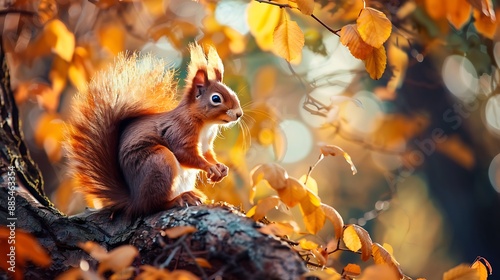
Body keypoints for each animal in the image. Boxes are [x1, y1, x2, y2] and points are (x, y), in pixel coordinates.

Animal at [66, 44, 242, 219]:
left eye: (233, 93)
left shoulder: (206, 144)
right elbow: (185, 154)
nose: (239, 114)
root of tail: (134, 200)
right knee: (153, 206)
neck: (206, 124)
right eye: (216, 99)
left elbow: (207, 154)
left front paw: (220, 167)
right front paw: (210, 168)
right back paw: (180, 198)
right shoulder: (180, 129)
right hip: (159, 162)